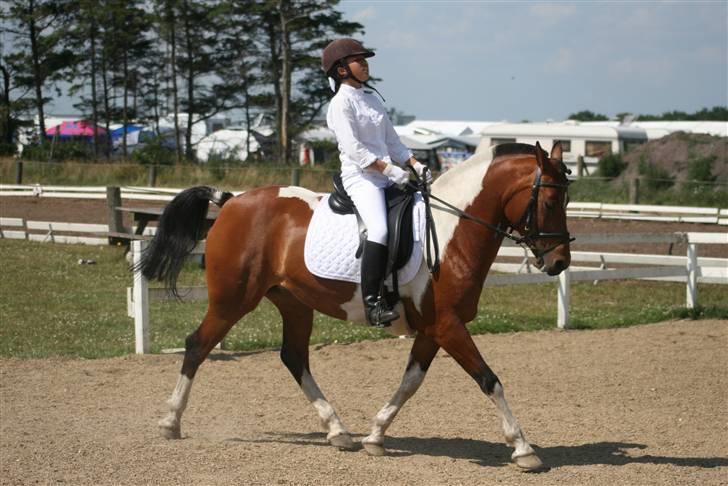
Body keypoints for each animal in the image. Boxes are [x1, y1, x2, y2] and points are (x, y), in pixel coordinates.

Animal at [142, 140, 572, 470]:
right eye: (551, 201)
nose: (559, 263)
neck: (452, 231)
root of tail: (231, 202)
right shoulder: (448, 325)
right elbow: (489, 380)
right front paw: (524, 449)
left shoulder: (433, 329)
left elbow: (410, 382)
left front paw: (376, 435)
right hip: (232, 301)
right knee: (198, 345)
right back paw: (169, 421)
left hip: (294, 304)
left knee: (294, 357)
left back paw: (338, 431)